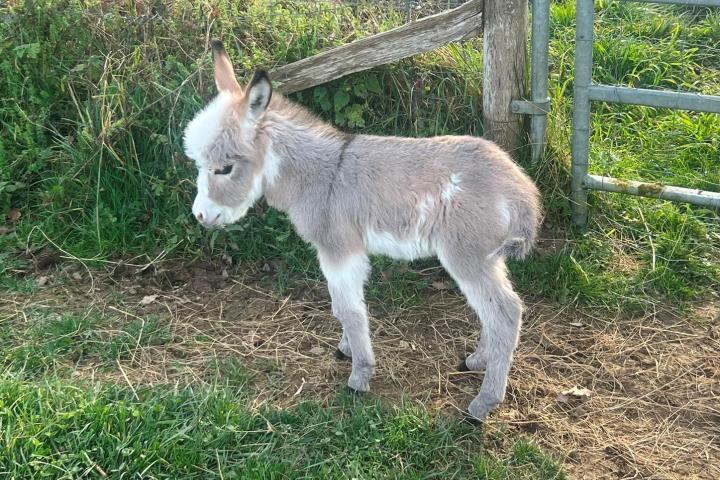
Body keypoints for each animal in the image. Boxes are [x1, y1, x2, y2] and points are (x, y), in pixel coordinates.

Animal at [184, 41, 540, 420]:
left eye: (225, 168)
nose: (201, 215)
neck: (320, 175)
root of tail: (521, 189)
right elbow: (343, 305)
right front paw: (346, 349)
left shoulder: (338, 250)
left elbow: (348, 310)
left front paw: (360, 375)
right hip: (488, 257)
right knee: (495, 311)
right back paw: (477, 361)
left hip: (466, 255)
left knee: (505, 314)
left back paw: (483, 403)